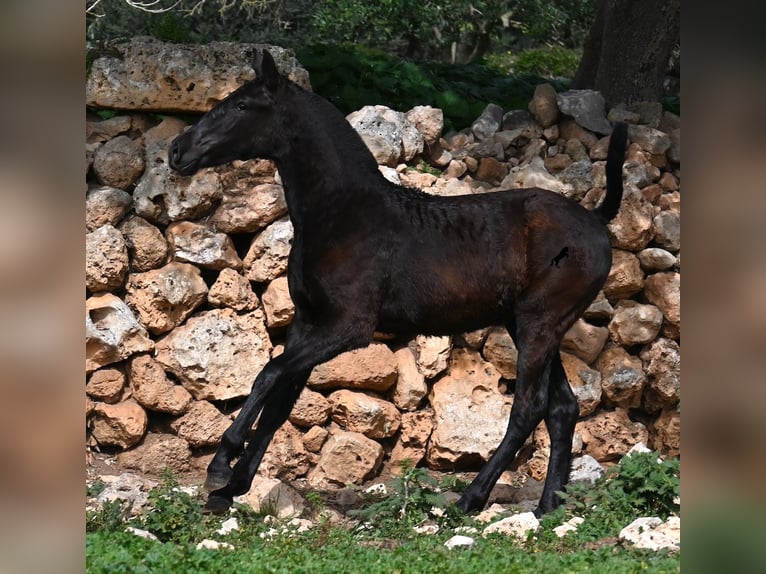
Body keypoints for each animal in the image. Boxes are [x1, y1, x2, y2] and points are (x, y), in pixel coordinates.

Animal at [170, 49, 632, 516]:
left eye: (243, 106)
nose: (176, 151)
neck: (344, 216)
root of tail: (596, 219)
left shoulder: (348, 327)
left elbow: (268, 373)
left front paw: (221, 466)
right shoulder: (307, 322)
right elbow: (280, 400)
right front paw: (231, 488)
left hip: (540, 323)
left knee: (529, 407)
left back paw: (470, 498)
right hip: (527, 326)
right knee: (562, 407)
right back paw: (547, 506)